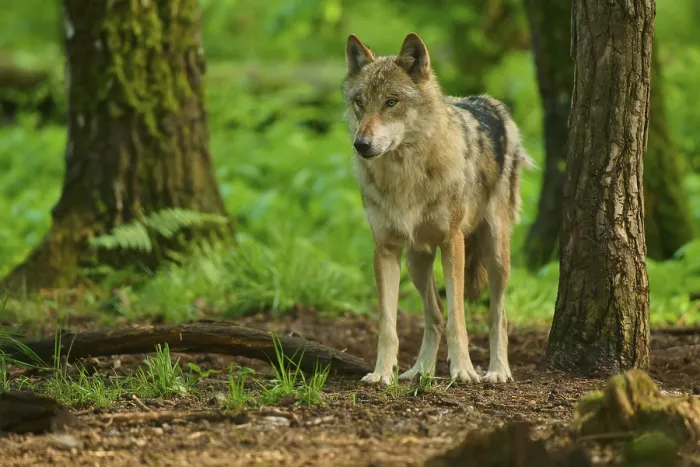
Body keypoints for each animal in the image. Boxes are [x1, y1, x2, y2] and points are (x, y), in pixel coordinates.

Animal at [342, 32, 533, 385]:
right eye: (360, 102)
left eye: (392, 102)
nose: (361, 144)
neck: (405, 176)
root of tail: (489, 102)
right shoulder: (385, 249)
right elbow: (388, 326)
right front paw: (382, 374)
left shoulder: (452, 242)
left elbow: (459, 320)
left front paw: (464, 371)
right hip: (417, 260)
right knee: (433, 315)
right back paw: (421, 370)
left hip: (496, 255)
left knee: (498, 316)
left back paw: (497, 371)